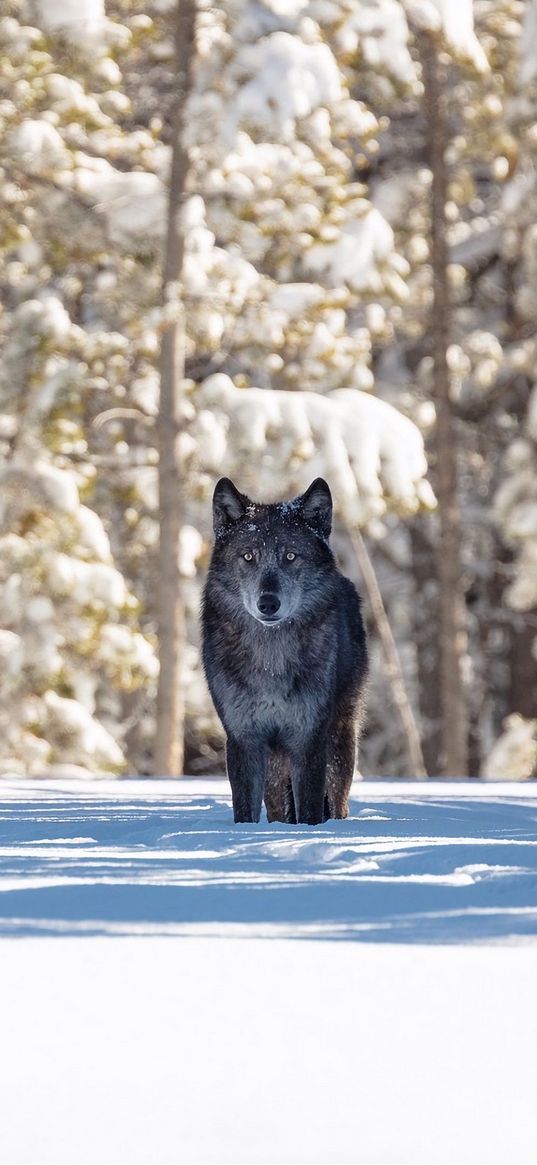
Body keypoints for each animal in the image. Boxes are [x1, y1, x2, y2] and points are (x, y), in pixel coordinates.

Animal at [200, 477, 368, 824]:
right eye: (248, 556)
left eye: (290, 556)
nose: (268, 603)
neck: (271, 660)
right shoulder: (244, 739)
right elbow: (245, 810)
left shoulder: (309, 739)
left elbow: (310, 809)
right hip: (276, 765)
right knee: (278, 806)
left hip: (340, 740)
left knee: (338, 800)